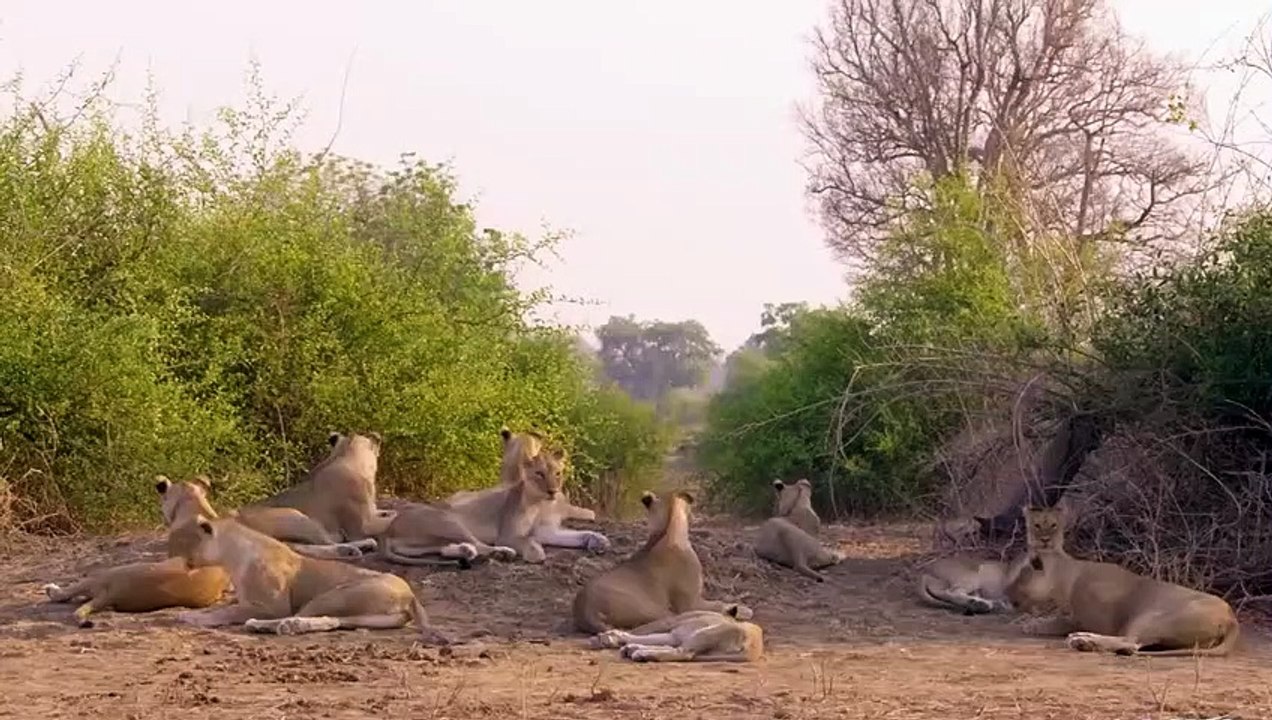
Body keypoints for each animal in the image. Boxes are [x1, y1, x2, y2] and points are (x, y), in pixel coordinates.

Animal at [169, 513, 449, 643]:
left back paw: (271, 625)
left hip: (334, 595)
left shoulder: (272, 606)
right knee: (329, 621)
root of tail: (410, 594)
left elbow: (225, 612)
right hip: (360, 614)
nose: (176, 558)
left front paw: (191, 617)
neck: (232, 555)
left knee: (298, 616)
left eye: (185, 539)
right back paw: (278, 626)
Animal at [572, 490, 753, 634]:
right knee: (673, 619)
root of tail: (587, 611)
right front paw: (744, 609)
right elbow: (718, 603)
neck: (666, 530)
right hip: (655, 609)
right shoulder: (690, 602)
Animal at [588, 606, 764, 663]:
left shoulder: (671, 623)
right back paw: (635, 650)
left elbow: (643, 630)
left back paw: (641, 653)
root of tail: (753, 650)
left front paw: (606, 637)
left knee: (683, 653)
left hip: (704, 634)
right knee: (677, 650)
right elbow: (650, 637)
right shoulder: (675, 633)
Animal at [916, 504, 1067, 615]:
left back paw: (989, 604)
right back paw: (982, 604)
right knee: (951, 592)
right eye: (1036, 526)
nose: (1045, 540)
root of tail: (924, 570)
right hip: (971, 575)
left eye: (1053, 525)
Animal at [1005, 548, 1240, 657]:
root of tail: (1232, 619)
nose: (1007, 594)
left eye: (1019, 576)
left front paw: (1031, 624)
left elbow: (1059, 621)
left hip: (1150, 617)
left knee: (1131, 642)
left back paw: (1083, 641)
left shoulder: (1094, 619)